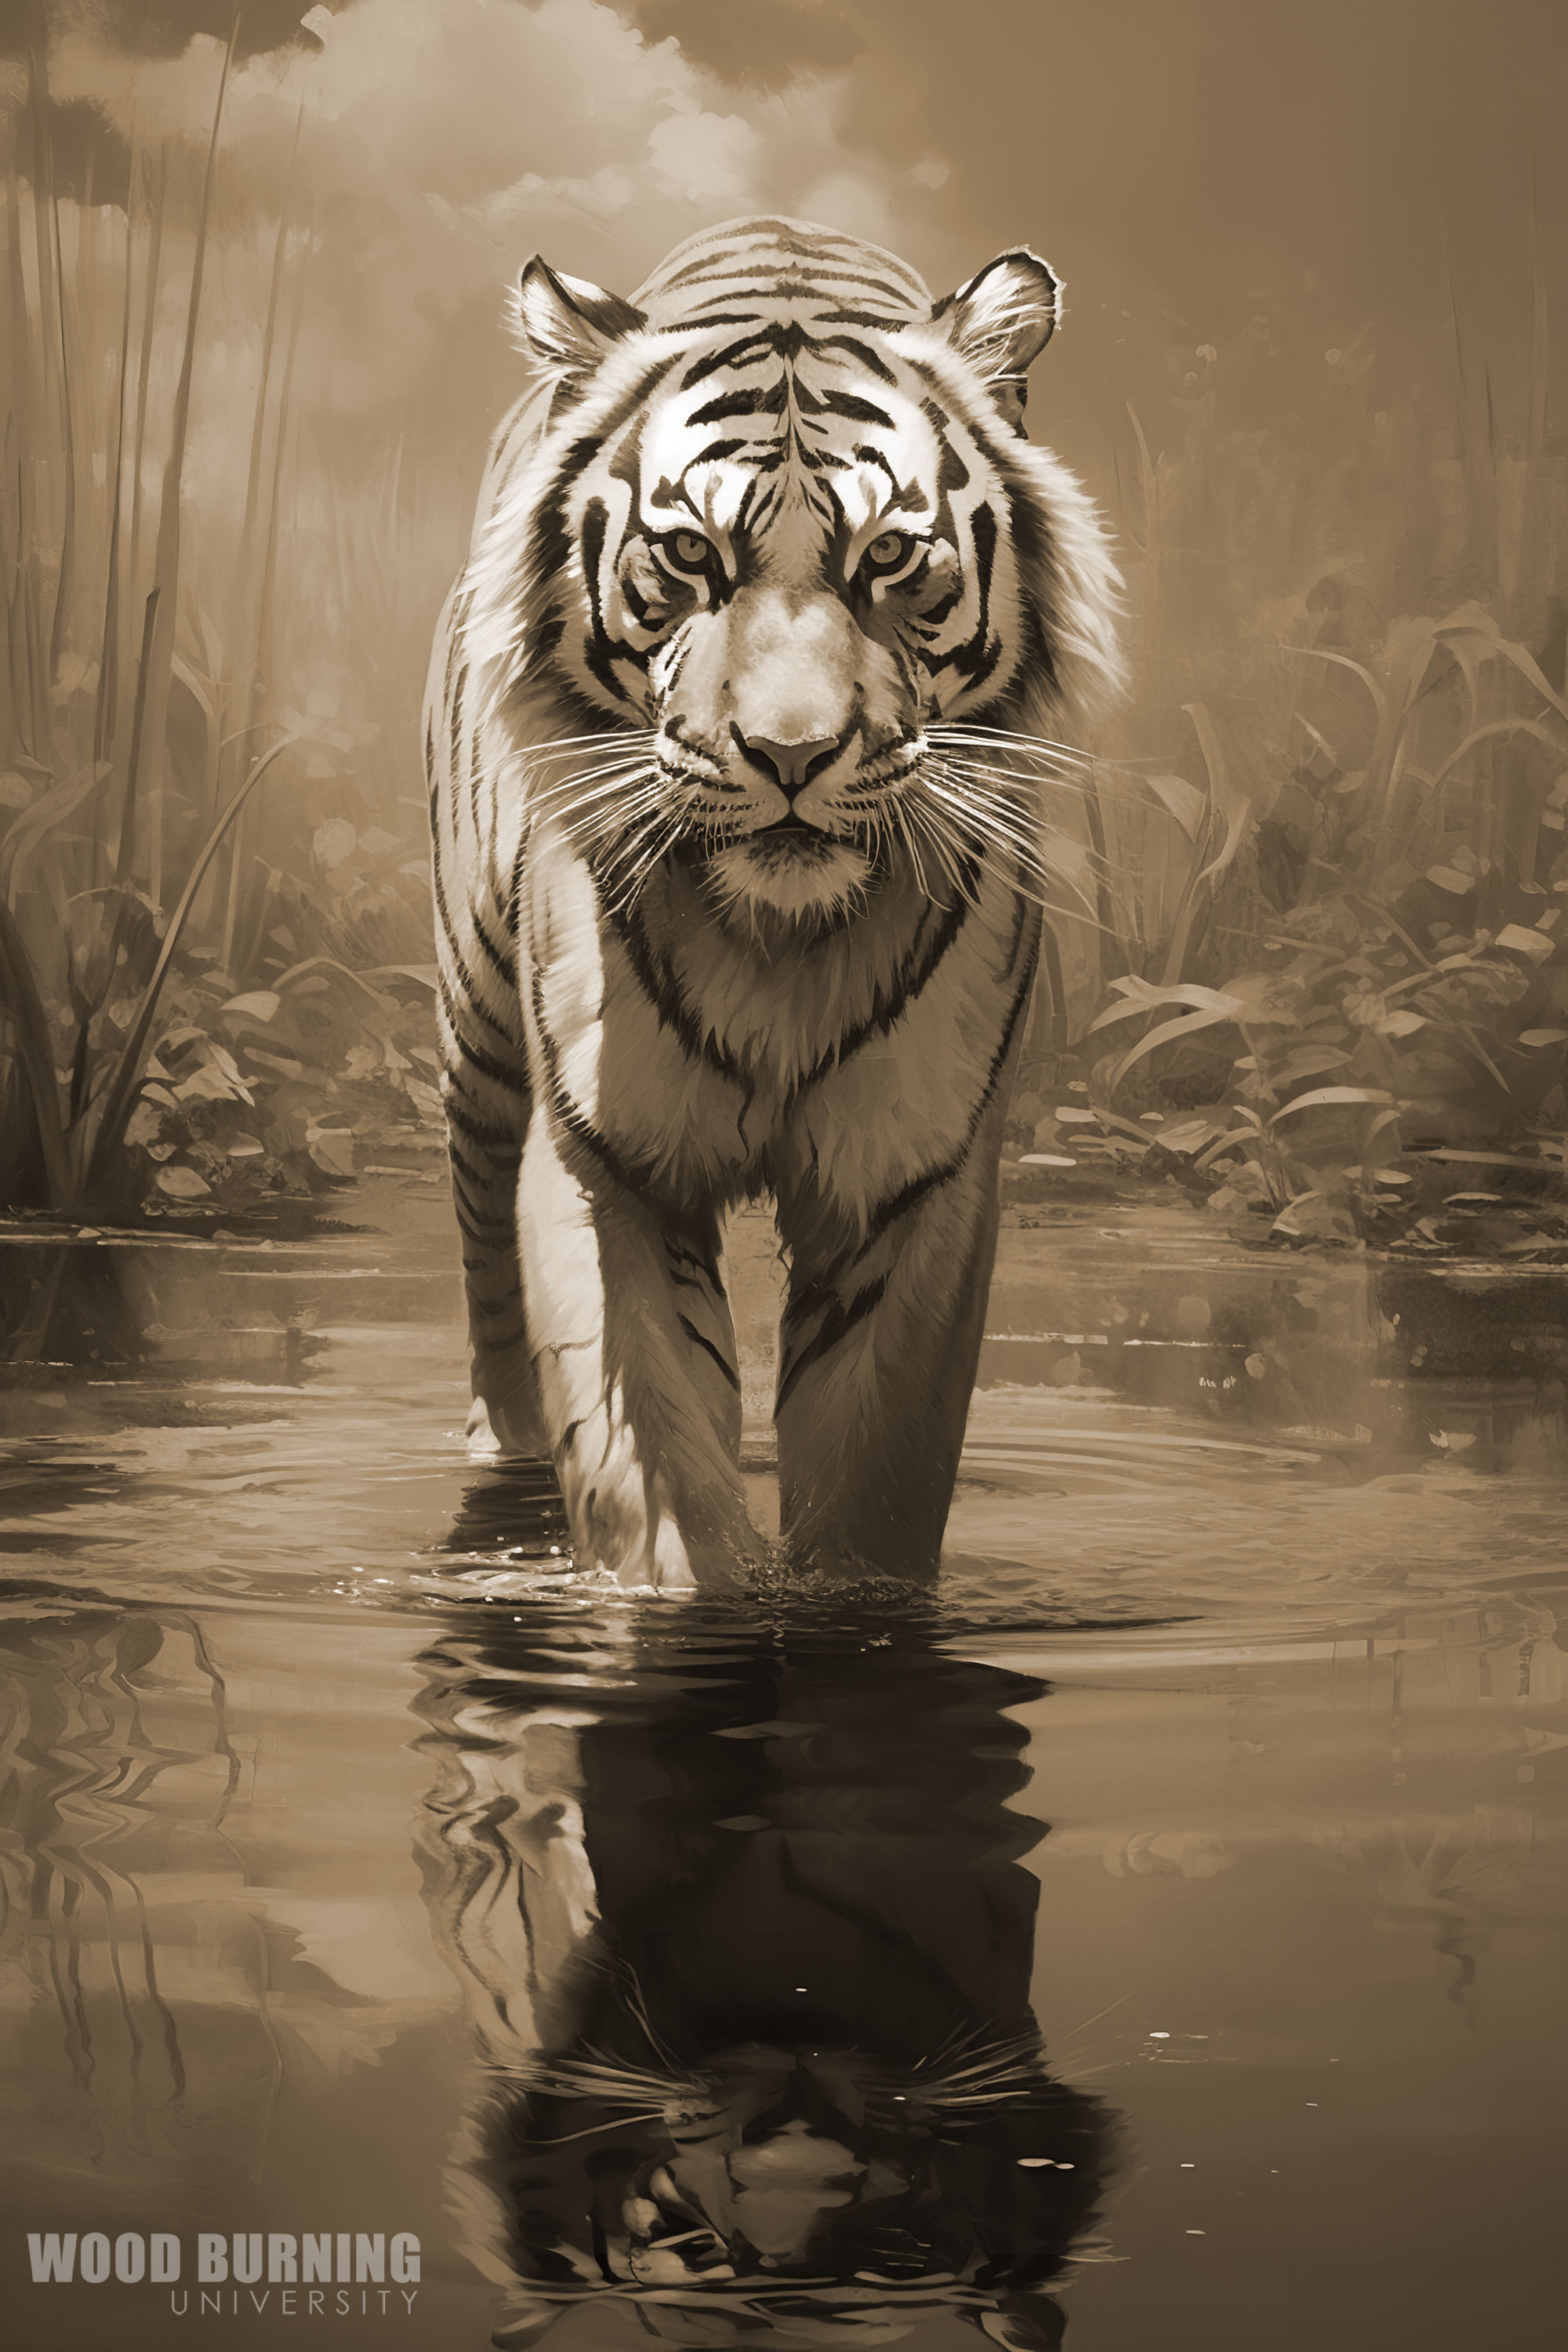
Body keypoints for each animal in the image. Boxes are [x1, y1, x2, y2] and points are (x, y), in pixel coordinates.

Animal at [425, 215, 1123, 1591]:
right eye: (691, 555)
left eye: (888, 557)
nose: (790, 755)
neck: (781, 947)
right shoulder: (607, 1161)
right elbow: (650, 1460)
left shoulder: (915, 1178)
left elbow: (874, 1484)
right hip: (479, 1030)